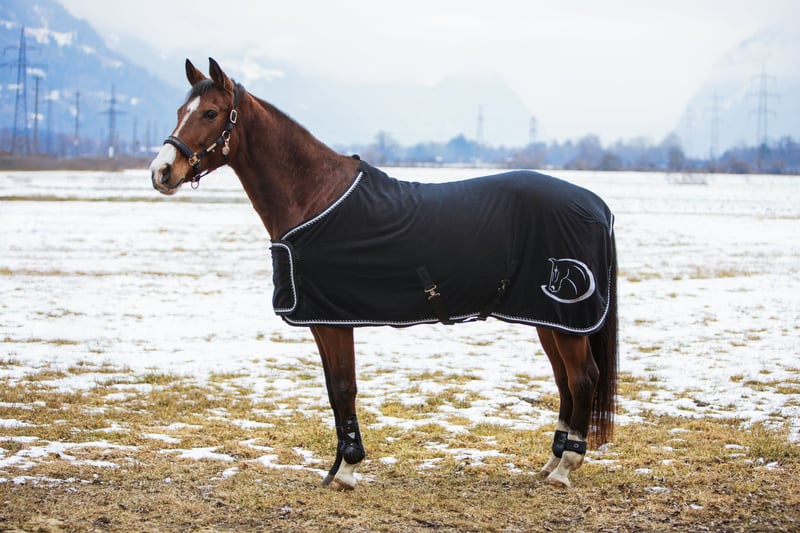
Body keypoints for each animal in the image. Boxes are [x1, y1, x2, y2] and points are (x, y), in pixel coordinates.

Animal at [149, 58, 618, 490]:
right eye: (180, 111)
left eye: (211, 113)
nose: (161, 172)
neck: (315, 196)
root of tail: (597, 205)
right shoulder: (323, 321)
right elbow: (334, 392)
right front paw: (336, 469)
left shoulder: (334, 322)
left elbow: (343, 388)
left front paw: (347, 471)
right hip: (548, 319)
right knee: (565, 381)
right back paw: (551, 462)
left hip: (565, 320)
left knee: (582, 378)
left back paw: (566, 467)